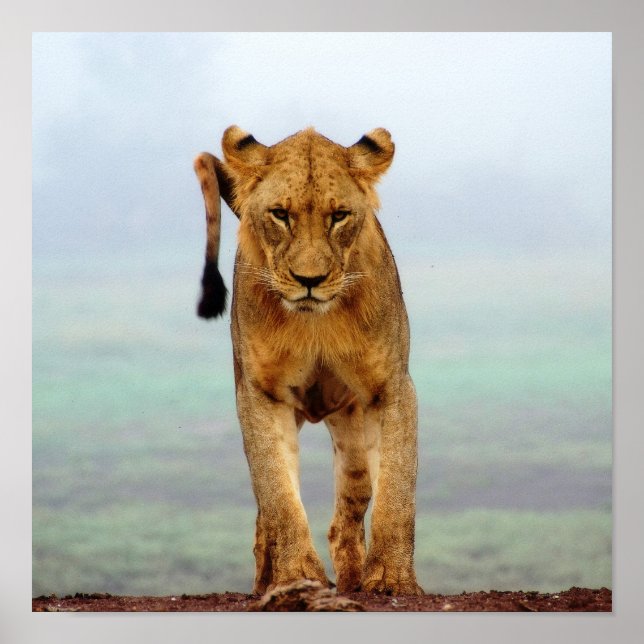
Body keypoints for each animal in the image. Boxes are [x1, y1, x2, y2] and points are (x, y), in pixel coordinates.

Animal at [193, 126, 423, 596]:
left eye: (339, 216)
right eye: (281, 215)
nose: (310, 280)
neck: (316, 323)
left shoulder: (392, 388)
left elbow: (397, 489)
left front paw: (391, 579)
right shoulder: (261, 395)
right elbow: (279, 496)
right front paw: (297, 576)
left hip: (351, 431)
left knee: (348, 513)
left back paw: (352, 582)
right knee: (265, 518)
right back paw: (266, 582)